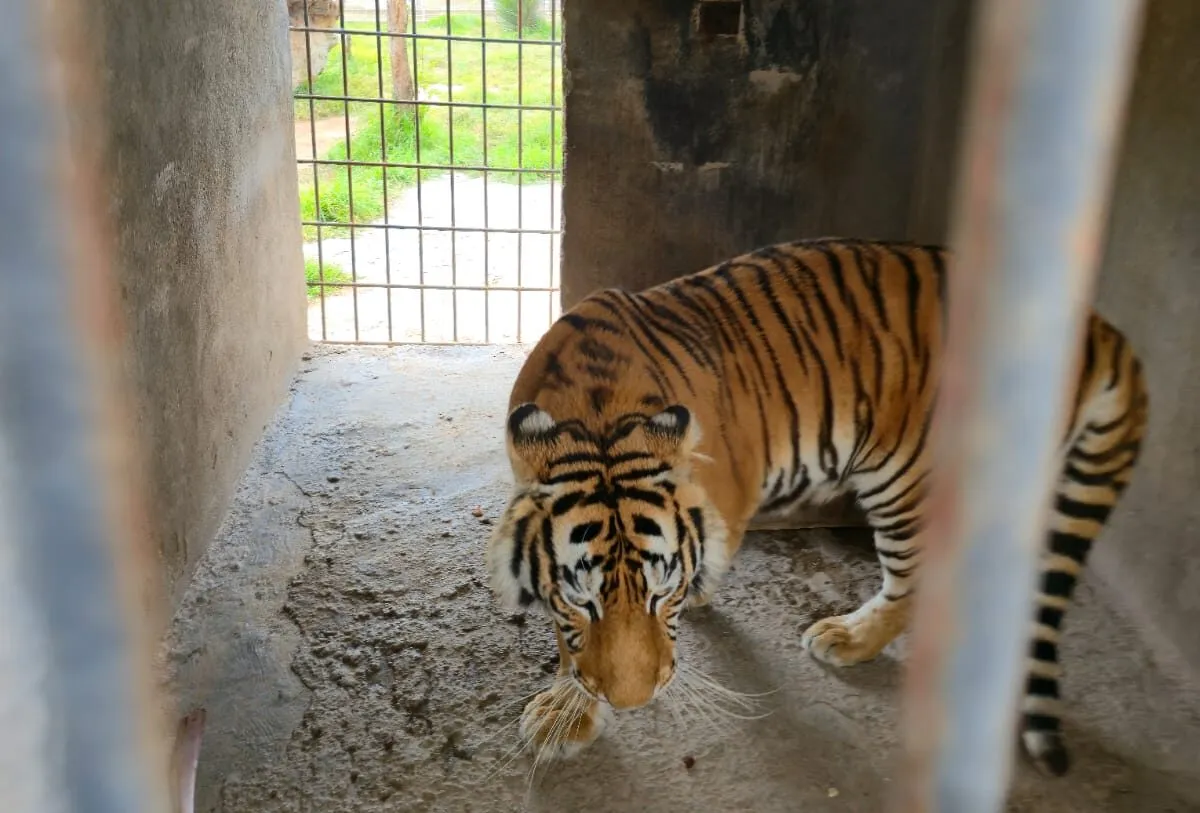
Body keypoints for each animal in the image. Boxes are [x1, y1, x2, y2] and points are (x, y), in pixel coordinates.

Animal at [486, 237, 1148, 777]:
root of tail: (1094, 323)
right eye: (583, 599)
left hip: (909, 481)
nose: (634, 702)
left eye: (660, 590)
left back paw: (850, 638)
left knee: (919, 580)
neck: (599, 413)